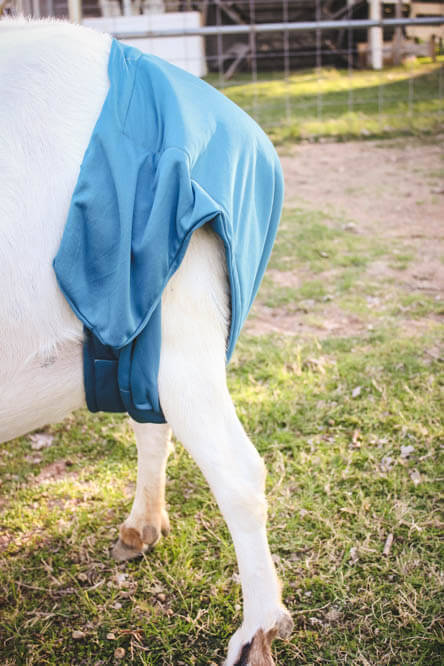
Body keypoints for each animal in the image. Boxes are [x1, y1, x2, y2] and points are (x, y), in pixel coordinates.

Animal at [0, 18, 294, 660]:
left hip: (179, 314)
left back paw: (255, 633)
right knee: (153, 424)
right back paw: (142, 528)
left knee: (238, 471)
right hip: (142, 338)